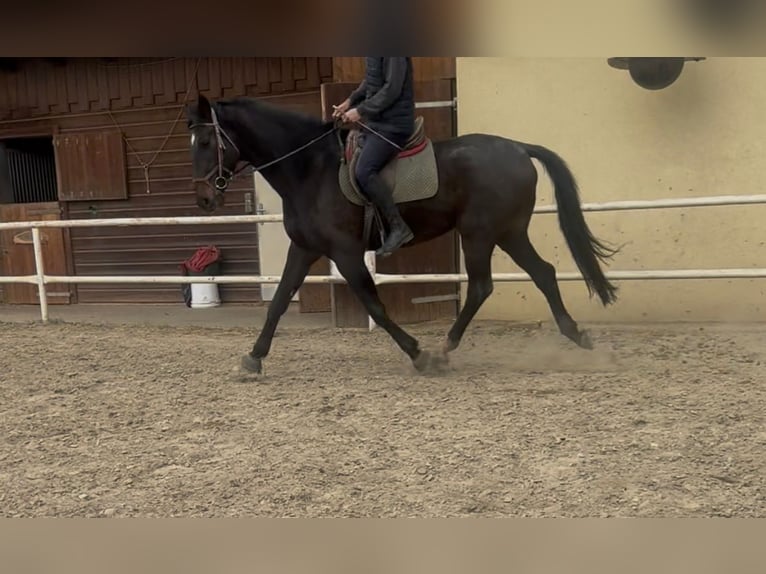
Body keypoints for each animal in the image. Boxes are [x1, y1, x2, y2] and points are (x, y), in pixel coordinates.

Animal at [185, 93, 619, 375]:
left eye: (206, 140)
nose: (204, 199)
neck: (310, 168)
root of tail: (517, 148)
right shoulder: (305, 249)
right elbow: (277, 302)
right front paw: (254, 358)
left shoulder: (345, 253)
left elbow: (376, 307)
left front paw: (417, 354)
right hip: (508, 232)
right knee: (543, 273)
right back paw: (576, 335)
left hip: (479, 234)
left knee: (482, 286)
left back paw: (443, 351)